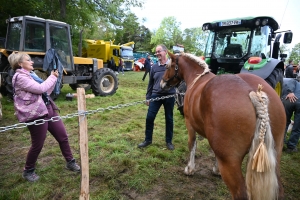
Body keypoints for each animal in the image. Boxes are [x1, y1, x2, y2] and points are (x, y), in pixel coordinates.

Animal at [161, 52, 284, 200]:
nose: (162, 83)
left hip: (230, 163)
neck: (198, 79)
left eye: (167, 66)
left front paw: (190, 169)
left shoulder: (190, 124)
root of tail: (255, 93)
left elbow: (192, 145)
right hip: (275, 157)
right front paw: (216, 169)